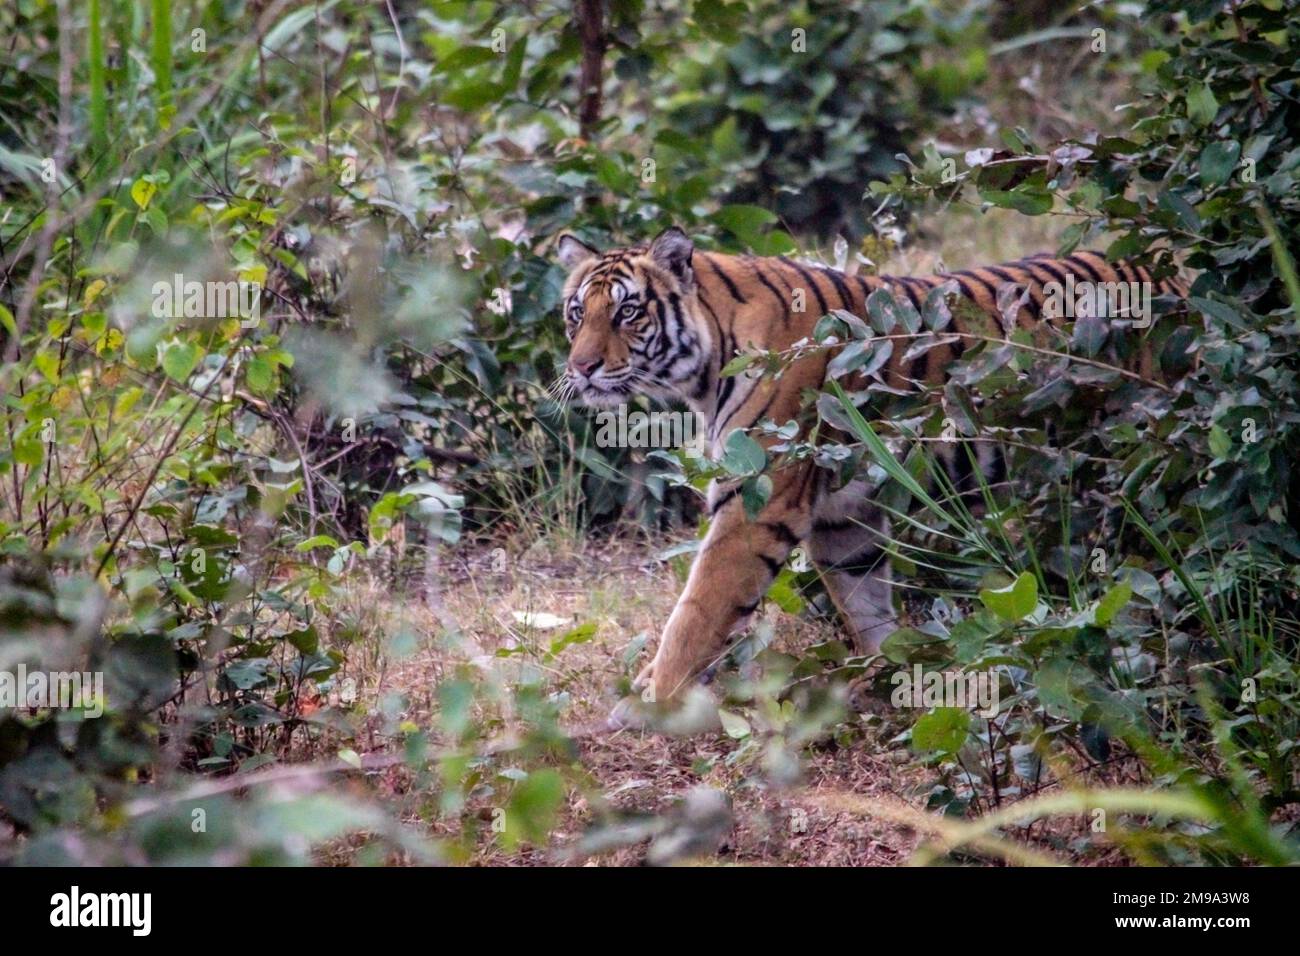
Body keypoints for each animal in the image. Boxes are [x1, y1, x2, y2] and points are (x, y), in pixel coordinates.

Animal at [555, 226, 1187, 718]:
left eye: (628, 311)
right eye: (576, 314)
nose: (581, 368)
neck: (706, 371)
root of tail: (1171, 279)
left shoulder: (757, 499)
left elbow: (698, 608)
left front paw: (653, 698)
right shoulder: (843, 514)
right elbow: (863, 599)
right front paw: (891, 671)